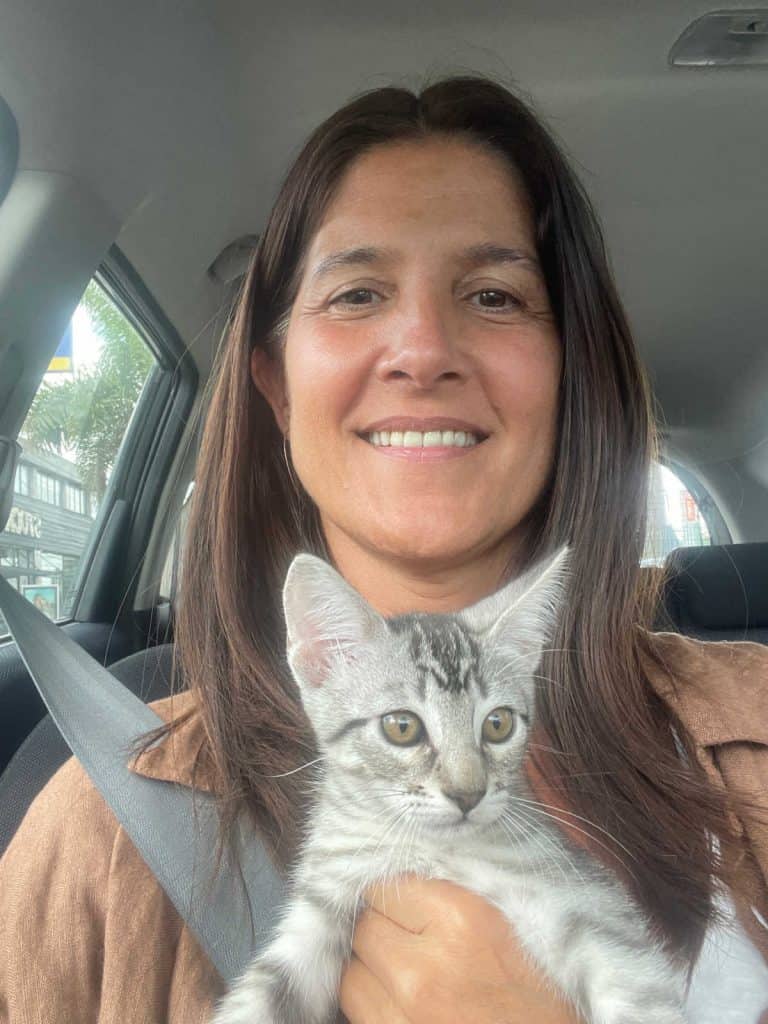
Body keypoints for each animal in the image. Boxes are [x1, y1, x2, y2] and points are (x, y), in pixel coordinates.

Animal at [214, 548, 688, 1024]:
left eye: (498, 724)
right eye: (401, 727)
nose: (468, 795)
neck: (428, 848)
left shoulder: (591, 905)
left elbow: (641, 999)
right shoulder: (325, 899)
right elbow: (259, 995)